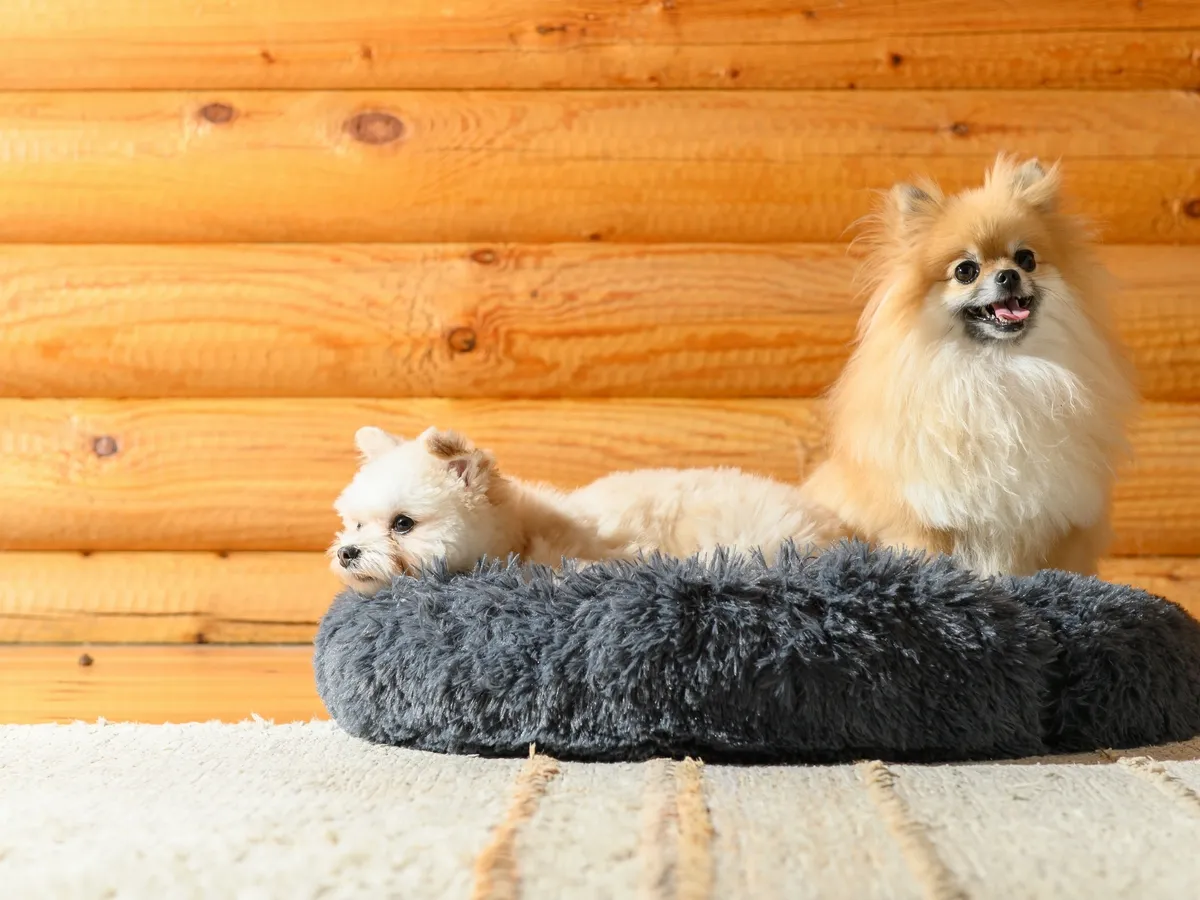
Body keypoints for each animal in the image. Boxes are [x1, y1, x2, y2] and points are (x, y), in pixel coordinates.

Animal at [801, 155, 1136, 577]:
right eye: (966, 271)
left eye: (1026, 259)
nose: (1008, 275)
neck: (998, 370)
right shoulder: (926, 518)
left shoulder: (1057, 522)